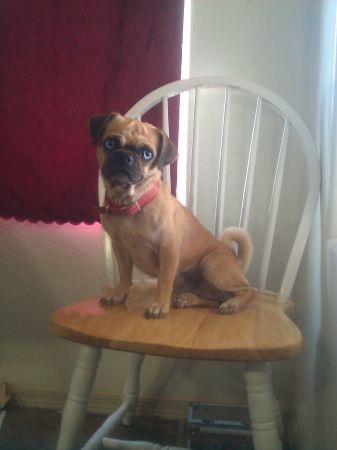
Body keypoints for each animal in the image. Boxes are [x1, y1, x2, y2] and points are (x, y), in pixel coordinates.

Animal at [88, 114, 256, 318]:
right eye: (110, 143)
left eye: (147, 154)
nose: (125, 157)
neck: (130, 202)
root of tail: (236, 262)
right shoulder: (120, 249)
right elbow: (124, 275)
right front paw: (119, 293)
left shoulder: (168, 250)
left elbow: (163, 281)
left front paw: (160, 305)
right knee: (215, 299)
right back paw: (187, 299)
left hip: (211, 264)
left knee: (249, 291)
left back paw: (233, 304)